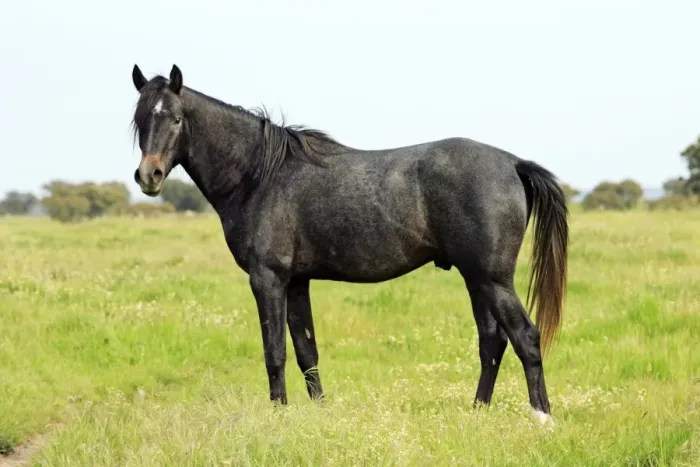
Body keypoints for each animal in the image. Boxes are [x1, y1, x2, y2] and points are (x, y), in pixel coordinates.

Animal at [130, 64, 569, 426]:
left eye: (176, 118)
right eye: (139, 119)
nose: (149, 176)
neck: (260, 174)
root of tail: (513, 163)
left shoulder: (267, 278)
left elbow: (275, 351)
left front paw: (278, 414)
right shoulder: (296, 282)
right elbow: (306, 351)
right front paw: (319, 412)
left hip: (492, 280)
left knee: (525, 337)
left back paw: (541, 419)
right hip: (476, 279)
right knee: (492, 342)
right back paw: (477, 413)